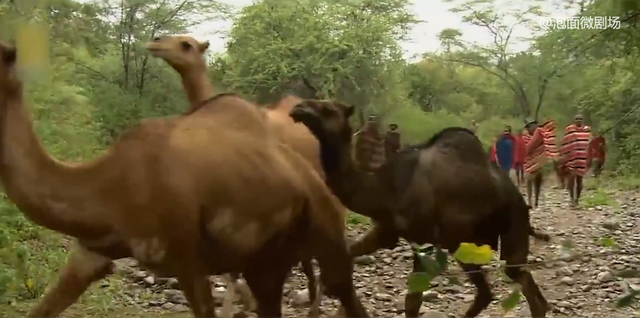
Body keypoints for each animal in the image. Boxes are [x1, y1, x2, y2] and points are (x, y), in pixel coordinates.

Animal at [0, 42, 368, 318]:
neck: (110, 184)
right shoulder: (91, 251)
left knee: (342, 284)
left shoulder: (187, 257)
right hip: (266, 260)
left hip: (324, 225)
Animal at [290, 100, 552, 318]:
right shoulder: (386, 231)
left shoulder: (423, 240)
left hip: (499, 228)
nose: (298, 108)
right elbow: (340, 265)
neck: (383, 187)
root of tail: (518, 200)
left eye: (327, 109)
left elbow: (412, 301)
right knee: (508, 288)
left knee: (509, 282)